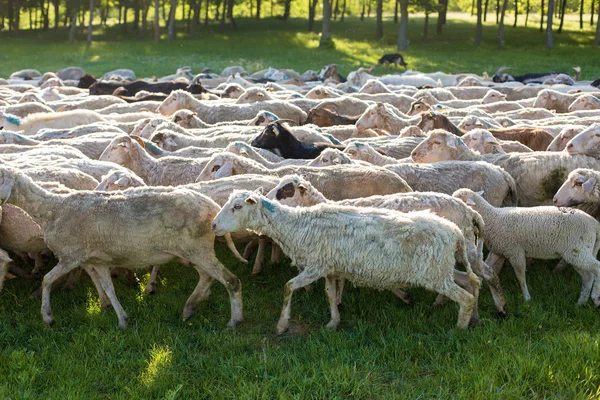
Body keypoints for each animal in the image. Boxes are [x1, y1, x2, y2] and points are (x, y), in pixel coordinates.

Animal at [0, 167, 246, 330]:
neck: (52, 209)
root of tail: (213, 210)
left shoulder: (71, 256)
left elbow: (46, 280)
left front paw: (48, 317)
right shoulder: (96, 260)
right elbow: (108, 288)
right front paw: (121, 319)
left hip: (197, 249)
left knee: (231, 281)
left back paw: (233, 321)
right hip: (194, 251)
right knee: (207, 277)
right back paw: (190, 307)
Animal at [211, 191, 478, 332]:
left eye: (236, 206)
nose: (213, 225)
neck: (296, 226)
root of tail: (455, 232)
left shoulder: (316, 266)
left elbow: (288, 287)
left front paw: (282, 324)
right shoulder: (330, 268)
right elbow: (330, 295)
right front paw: (333, 322)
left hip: (435, 272)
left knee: (466, 296)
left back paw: (460, 327)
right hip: (441, 269)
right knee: (472, 282)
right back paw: (472, 317)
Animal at [452, 189, 600, 304]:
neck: (492, 217)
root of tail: (594, 224)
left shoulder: (515, 251)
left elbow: (520, 276)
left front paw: (526, 298)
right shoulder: (498, 250)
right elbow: (485, 267)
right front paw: (480, 284)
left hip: (578, 250)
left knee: (596, 268)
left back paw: (595, 296)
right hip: (579, 252)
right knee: (588, 277)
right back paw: (581, 303)